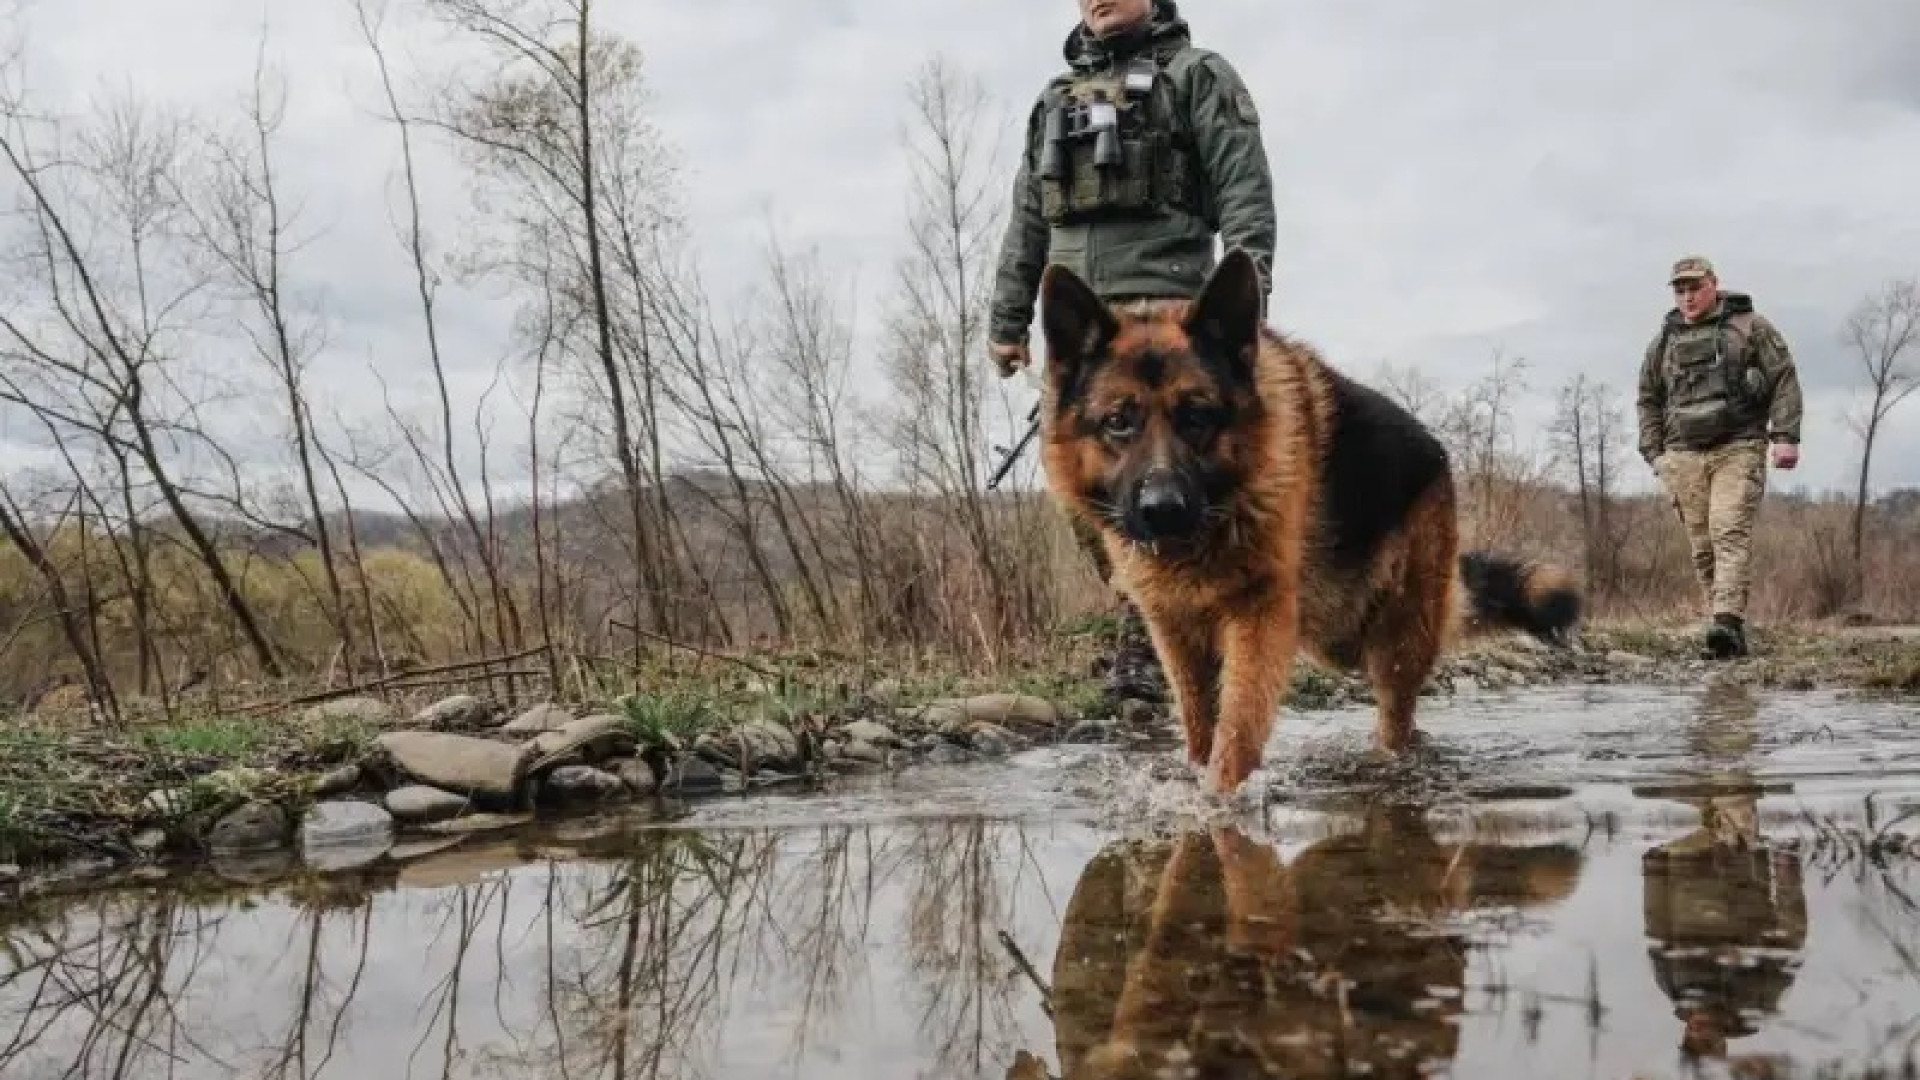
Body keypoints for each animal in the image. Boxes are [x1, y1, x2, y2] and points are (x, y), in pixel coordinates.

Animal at [1044, 249, 1582, 791]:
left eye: (1198, 417)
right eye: (1118, 422)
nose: (1163, 511)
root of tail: (1438, 454)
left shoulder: (1259, 622)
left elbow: (1236, 733)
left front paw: (1220, 799)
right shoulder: (1177, 637)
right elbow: (1200, 728)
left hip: (1397, 642)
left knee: (1397, 716)